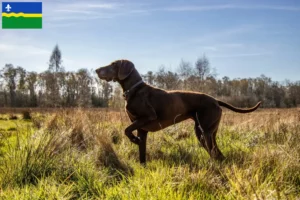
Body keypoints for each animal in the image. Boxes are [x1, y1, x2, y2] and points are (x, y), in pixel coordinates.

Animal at [95, 59, 260, 164]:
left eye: (113, 64)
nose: (96, 70)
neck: (134, 90)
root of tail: (215, 100)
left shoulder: (147, 117)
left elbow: (126, 130)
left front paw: (134, 140)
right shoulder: (142, 129)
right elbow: (141, 153)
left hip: (205, 132)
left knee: (213, 153)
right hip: (206, 132)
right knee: (217, 153)